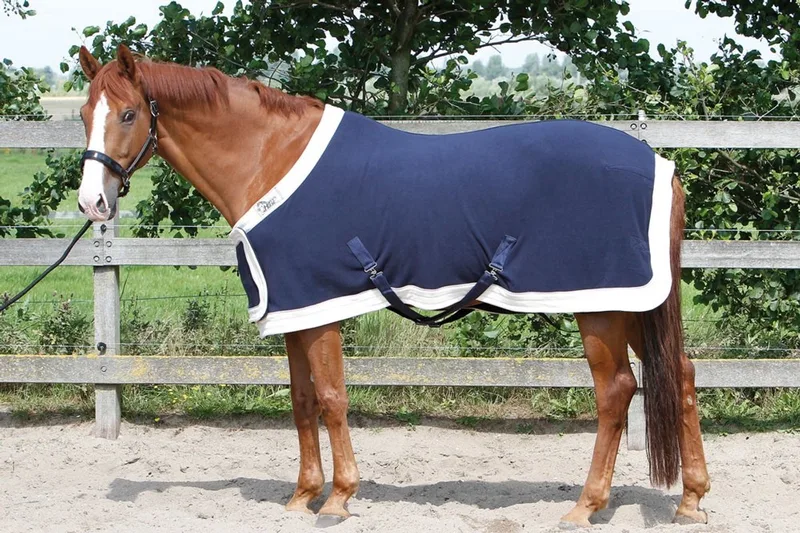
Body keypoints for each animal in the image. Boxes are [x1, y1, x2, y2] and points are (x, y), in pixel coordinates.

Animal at [75, 44, 710, 527]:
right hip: (633, 304)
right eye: (84, 114)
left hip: (600, 307)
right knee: (680, 374)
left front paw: (339, 499)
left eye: (128, 114)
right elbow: (302, 401)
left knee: (616, 392)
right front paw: (303, 495)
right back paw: (691, 501)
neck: (269, 158)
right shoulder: (297, 310)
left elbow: (332, 398)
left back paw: (586, 506)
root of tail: (661, 166)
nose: (92, 204)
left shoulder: (321, 306)